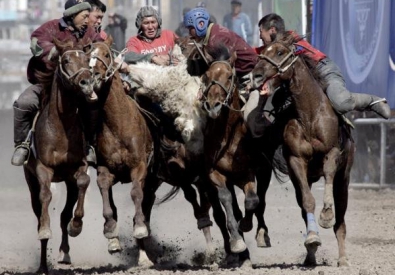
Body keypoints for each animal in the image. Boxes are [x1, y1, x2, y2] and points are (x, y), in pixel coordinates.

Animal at [23, 37, 97, 274]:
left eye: (87, 59)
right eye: (65, 60)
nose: (86, 83)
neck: (61, 126)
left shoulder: (78, 166)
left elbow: (83, 181)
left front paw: (77, 226)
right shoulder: (42, 169)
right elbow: (45, 197)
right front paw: (46, 230)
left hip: (68, 182)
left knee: (65, 214)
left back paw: (65, 252)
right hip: (30, 180)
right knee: (38, 211)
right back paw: (42, 265)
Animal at [252, 34, 358, 268]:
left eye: (280, 52)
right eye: (263, 51)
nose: (256, 75)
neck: (310, 115)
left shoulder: (333, 152)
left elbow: (329, 174)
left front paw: (326, 214)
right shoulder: (296, 161)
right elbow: (308, 201)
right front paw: (312, 238)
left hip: (344, 179)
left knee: (341, 221)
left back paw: (343, 259)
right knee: (304, 204)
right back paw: (310, 255)